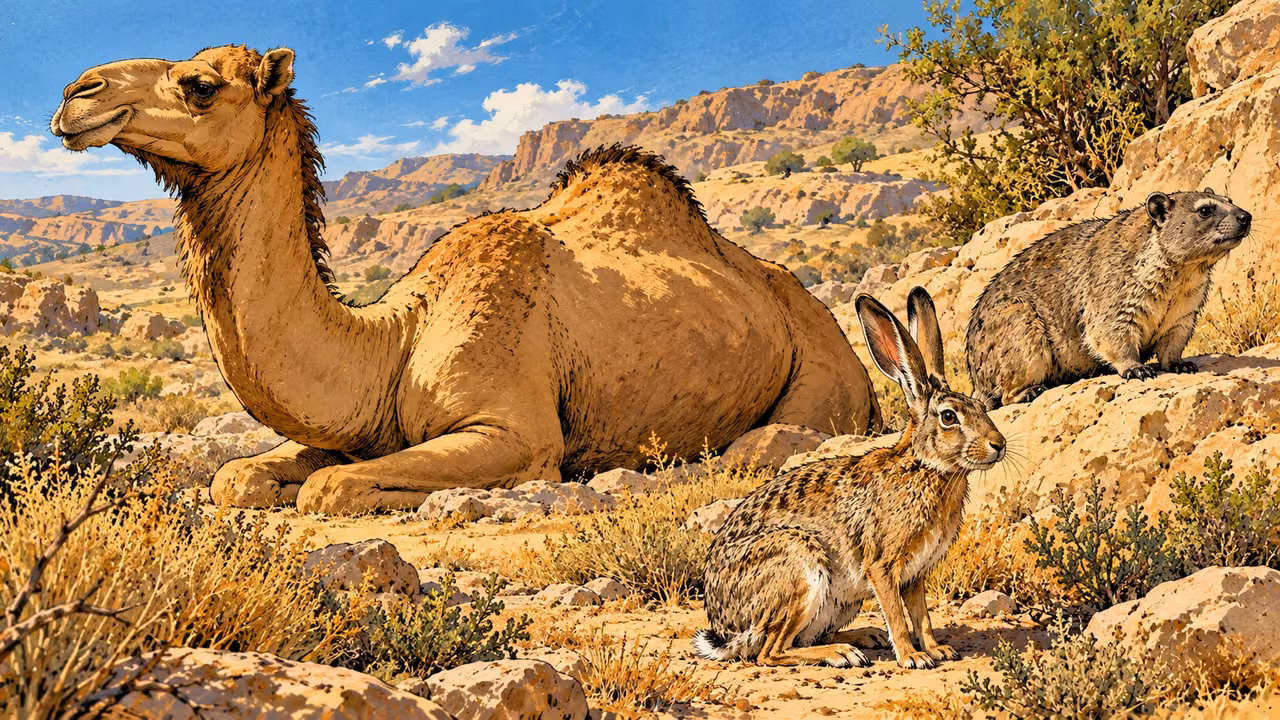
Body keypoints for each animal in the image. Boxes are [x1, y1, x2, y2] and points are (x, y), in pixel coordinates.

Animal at [51, 45, 881, 514]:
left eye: (199, 85)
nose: (75, 94)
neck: (395, 339)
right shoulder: (365, 430)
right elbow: (239, 478)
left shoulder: (513, 431)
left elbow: (331, 489)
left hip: (824, 372)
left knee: (769, 444)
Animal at [694, 287, 1006, 669]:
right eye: (949, 417)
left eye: (980, 408)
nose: (998, 445)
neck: (923, 467)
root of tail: (726, 631)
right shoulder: (882, 565)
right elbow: (898, 616)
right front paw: (912, 658)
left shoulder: (915, 575)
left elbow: (922, 616)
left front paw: (937, 650)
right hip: (799, 566)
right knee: (771, 652)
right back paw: (843, 653)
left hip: (838, 602)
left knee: (798, 640)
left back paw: (863, 637)